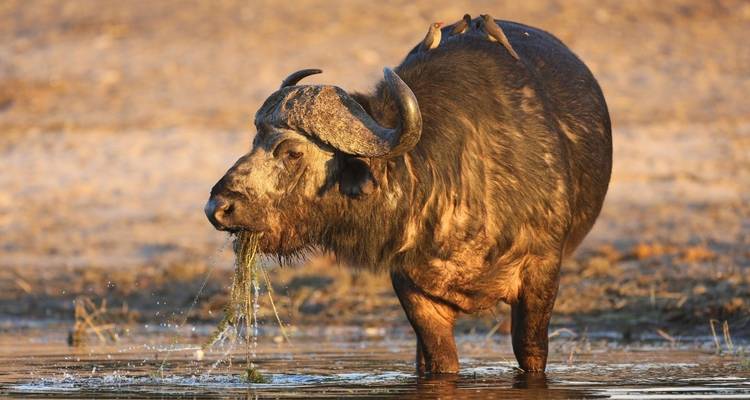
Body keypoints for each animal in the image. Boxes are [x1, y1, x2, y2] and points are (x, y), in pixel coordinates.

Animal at [205, 15, 612, 375]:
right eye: (255, 141)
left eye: (291, 152)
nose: (218, 207)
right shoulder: (410, 286)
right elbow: (440, 360)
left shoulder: (542, 272)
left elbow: (530, 352)